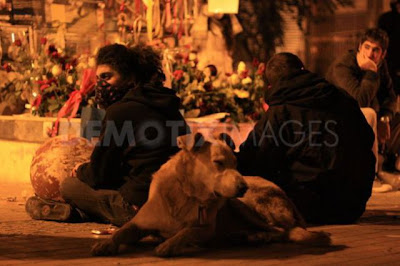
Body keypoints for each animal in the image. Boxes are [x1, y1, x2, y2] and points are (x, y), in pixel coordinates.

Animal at [91, 132, 332, 256]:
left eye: (236, 164)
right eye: (218, 162)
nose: (243, 187)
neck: (187, 194)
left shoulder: (206, 229)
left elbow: (188, 231)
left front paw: (168, 245)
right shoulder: (140, 222)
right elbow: (122, 230)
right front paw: (106, 243)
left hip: (242, 204)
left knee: (282, 231)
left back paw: (254, 236)